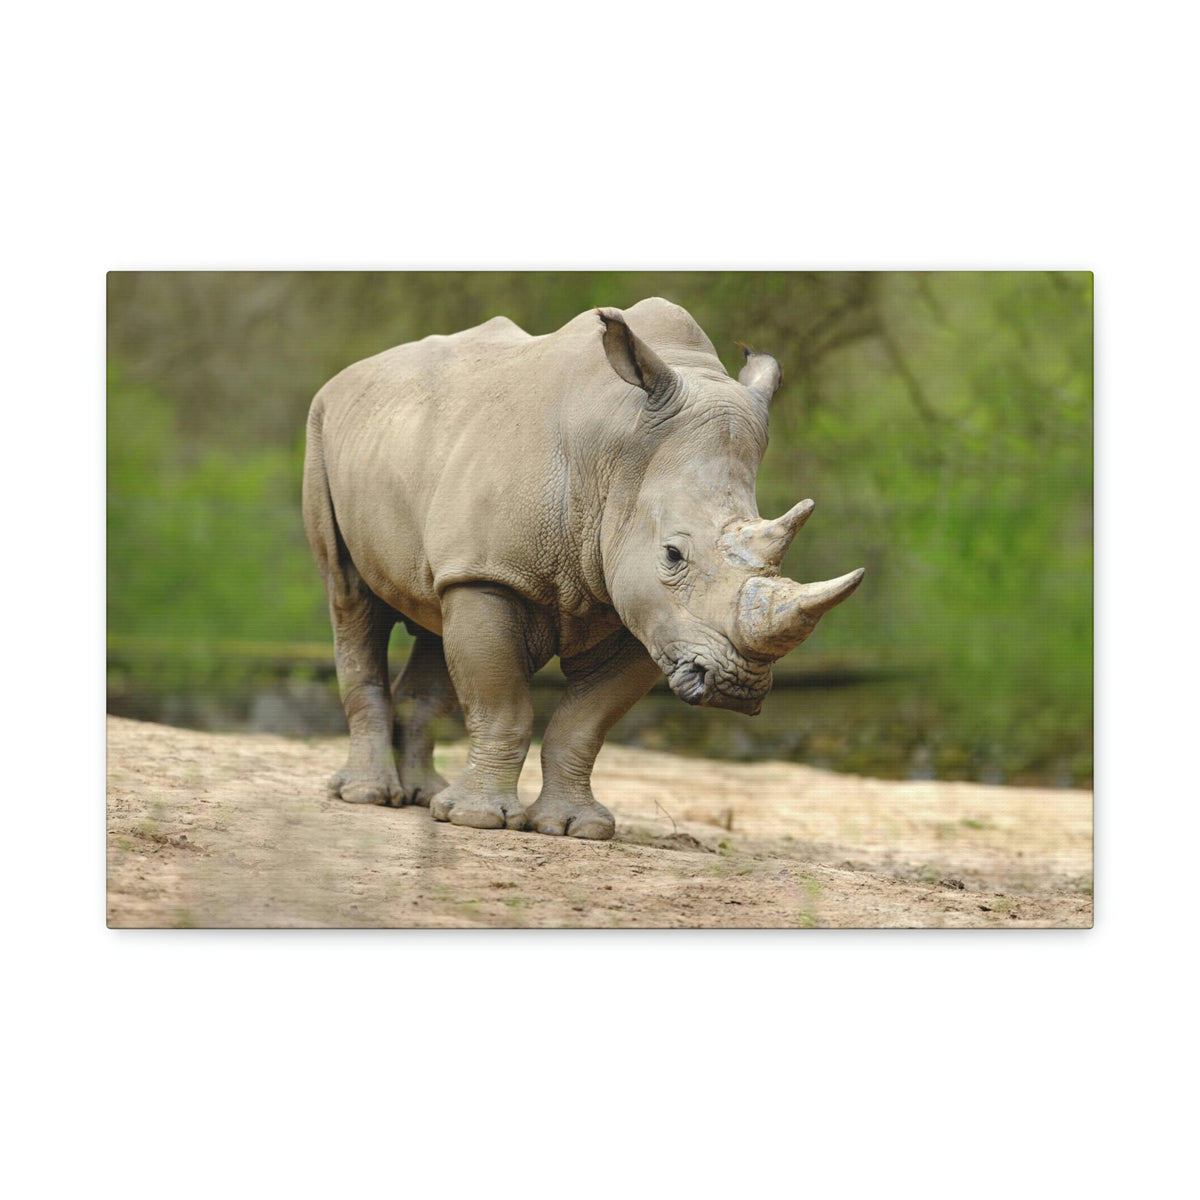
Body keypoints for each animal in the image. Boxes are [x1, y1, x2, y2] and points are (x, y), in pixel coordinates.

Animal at [302, 297, 863, 840]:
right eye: (673, 555)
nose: (736, 685)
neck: (618, 457)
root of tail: (354, 372)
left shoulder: (647, 613)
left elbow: (584, 724)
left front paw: (576, 828)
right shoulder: (493, 573)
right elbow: (502, 705)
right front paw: (478, 821)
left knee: (435, 615)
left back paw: (423, 796)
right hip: (323, 426)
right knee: (350, 598)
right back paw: (370, 796)